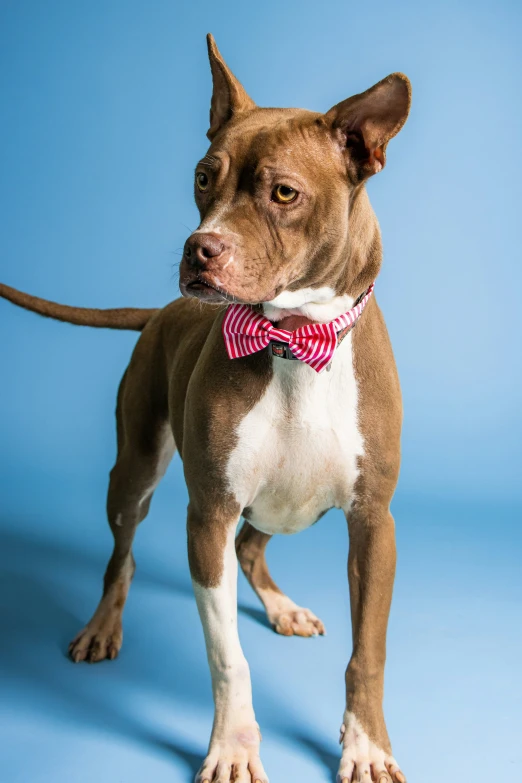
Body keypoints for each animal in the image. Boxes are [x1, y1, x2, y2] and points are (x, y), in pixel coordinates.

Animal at [2, 35, 412, 783]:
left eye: (284, 193)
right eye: (201, 177)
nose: (201, 249)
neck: (291, 340)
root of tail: (164, 311)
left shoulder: (374, 522)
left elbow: (367, 653)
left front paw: (367, 745)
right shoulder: (209, 514)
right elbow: (228, 657)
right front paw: (234, 747)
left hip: (292, 504)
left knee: (252, 546)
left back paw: (281, 607)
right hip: (134, 471)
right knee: (123, 558)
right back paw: (102, 625)